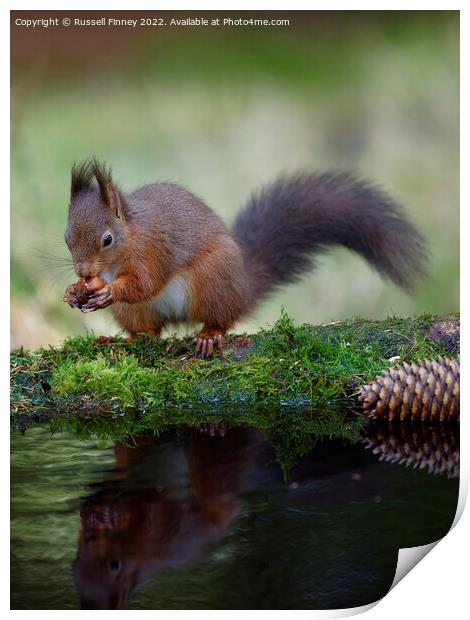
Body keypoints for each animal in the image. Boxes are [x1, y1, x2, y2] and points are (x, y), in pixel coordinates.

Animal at [64, 157, 428, 356]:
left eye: (107, 239)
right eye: (66, 237)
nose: (82, 271)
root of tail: (244, 286)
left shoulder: (154, 252)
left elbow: (145, 283)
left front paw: (109, 291)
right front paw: (72, 292)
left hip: (212, 280)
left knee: (222, 318)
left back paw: (209, 335)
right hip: (136, 314)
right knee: (148, 332)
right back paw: (120, 340)